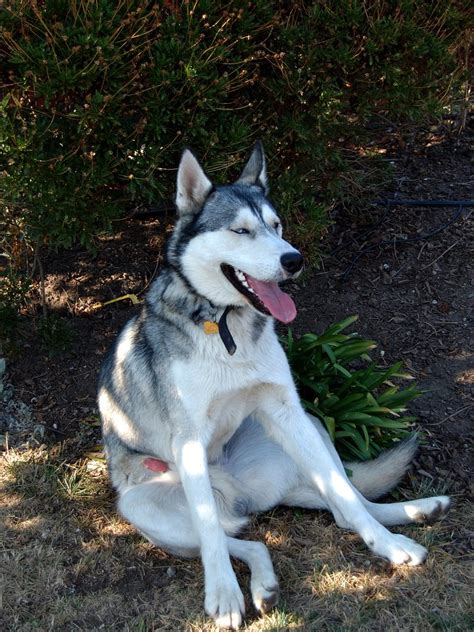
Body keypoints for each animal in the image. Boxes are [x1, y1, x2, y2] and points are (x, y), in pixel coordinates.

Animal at [98, 143, 450, 628]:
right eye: (241, 230)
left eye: (276, 225)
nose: (293, 259)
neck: (225, 326)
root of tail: (243, 493)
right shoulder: (188, 441)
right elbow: (210, 531)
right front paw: (223, 595)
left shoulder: (287, 410)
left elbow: (347, 498)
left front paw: (389, 545)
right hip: (144, 505)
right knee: (238, 538)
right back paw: (260, 584)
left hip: (313, 426)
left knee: (345, 504)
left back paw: (413, 513)